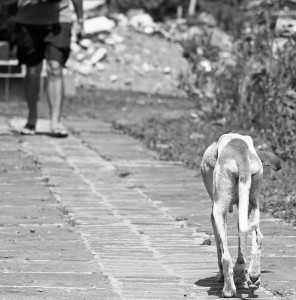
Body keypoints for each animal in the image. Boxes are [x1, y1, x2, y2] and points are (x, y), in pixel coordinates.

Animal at [200, 133, 280, 298]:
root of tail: (240, 149)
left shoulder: (214, 215)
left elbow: (220, 249)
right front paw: (242, 274)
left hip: (219, 209)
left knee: (225, 257)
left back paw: (229, 290)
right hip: (252, 203)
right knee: (258, 236)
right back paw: (253, 275)